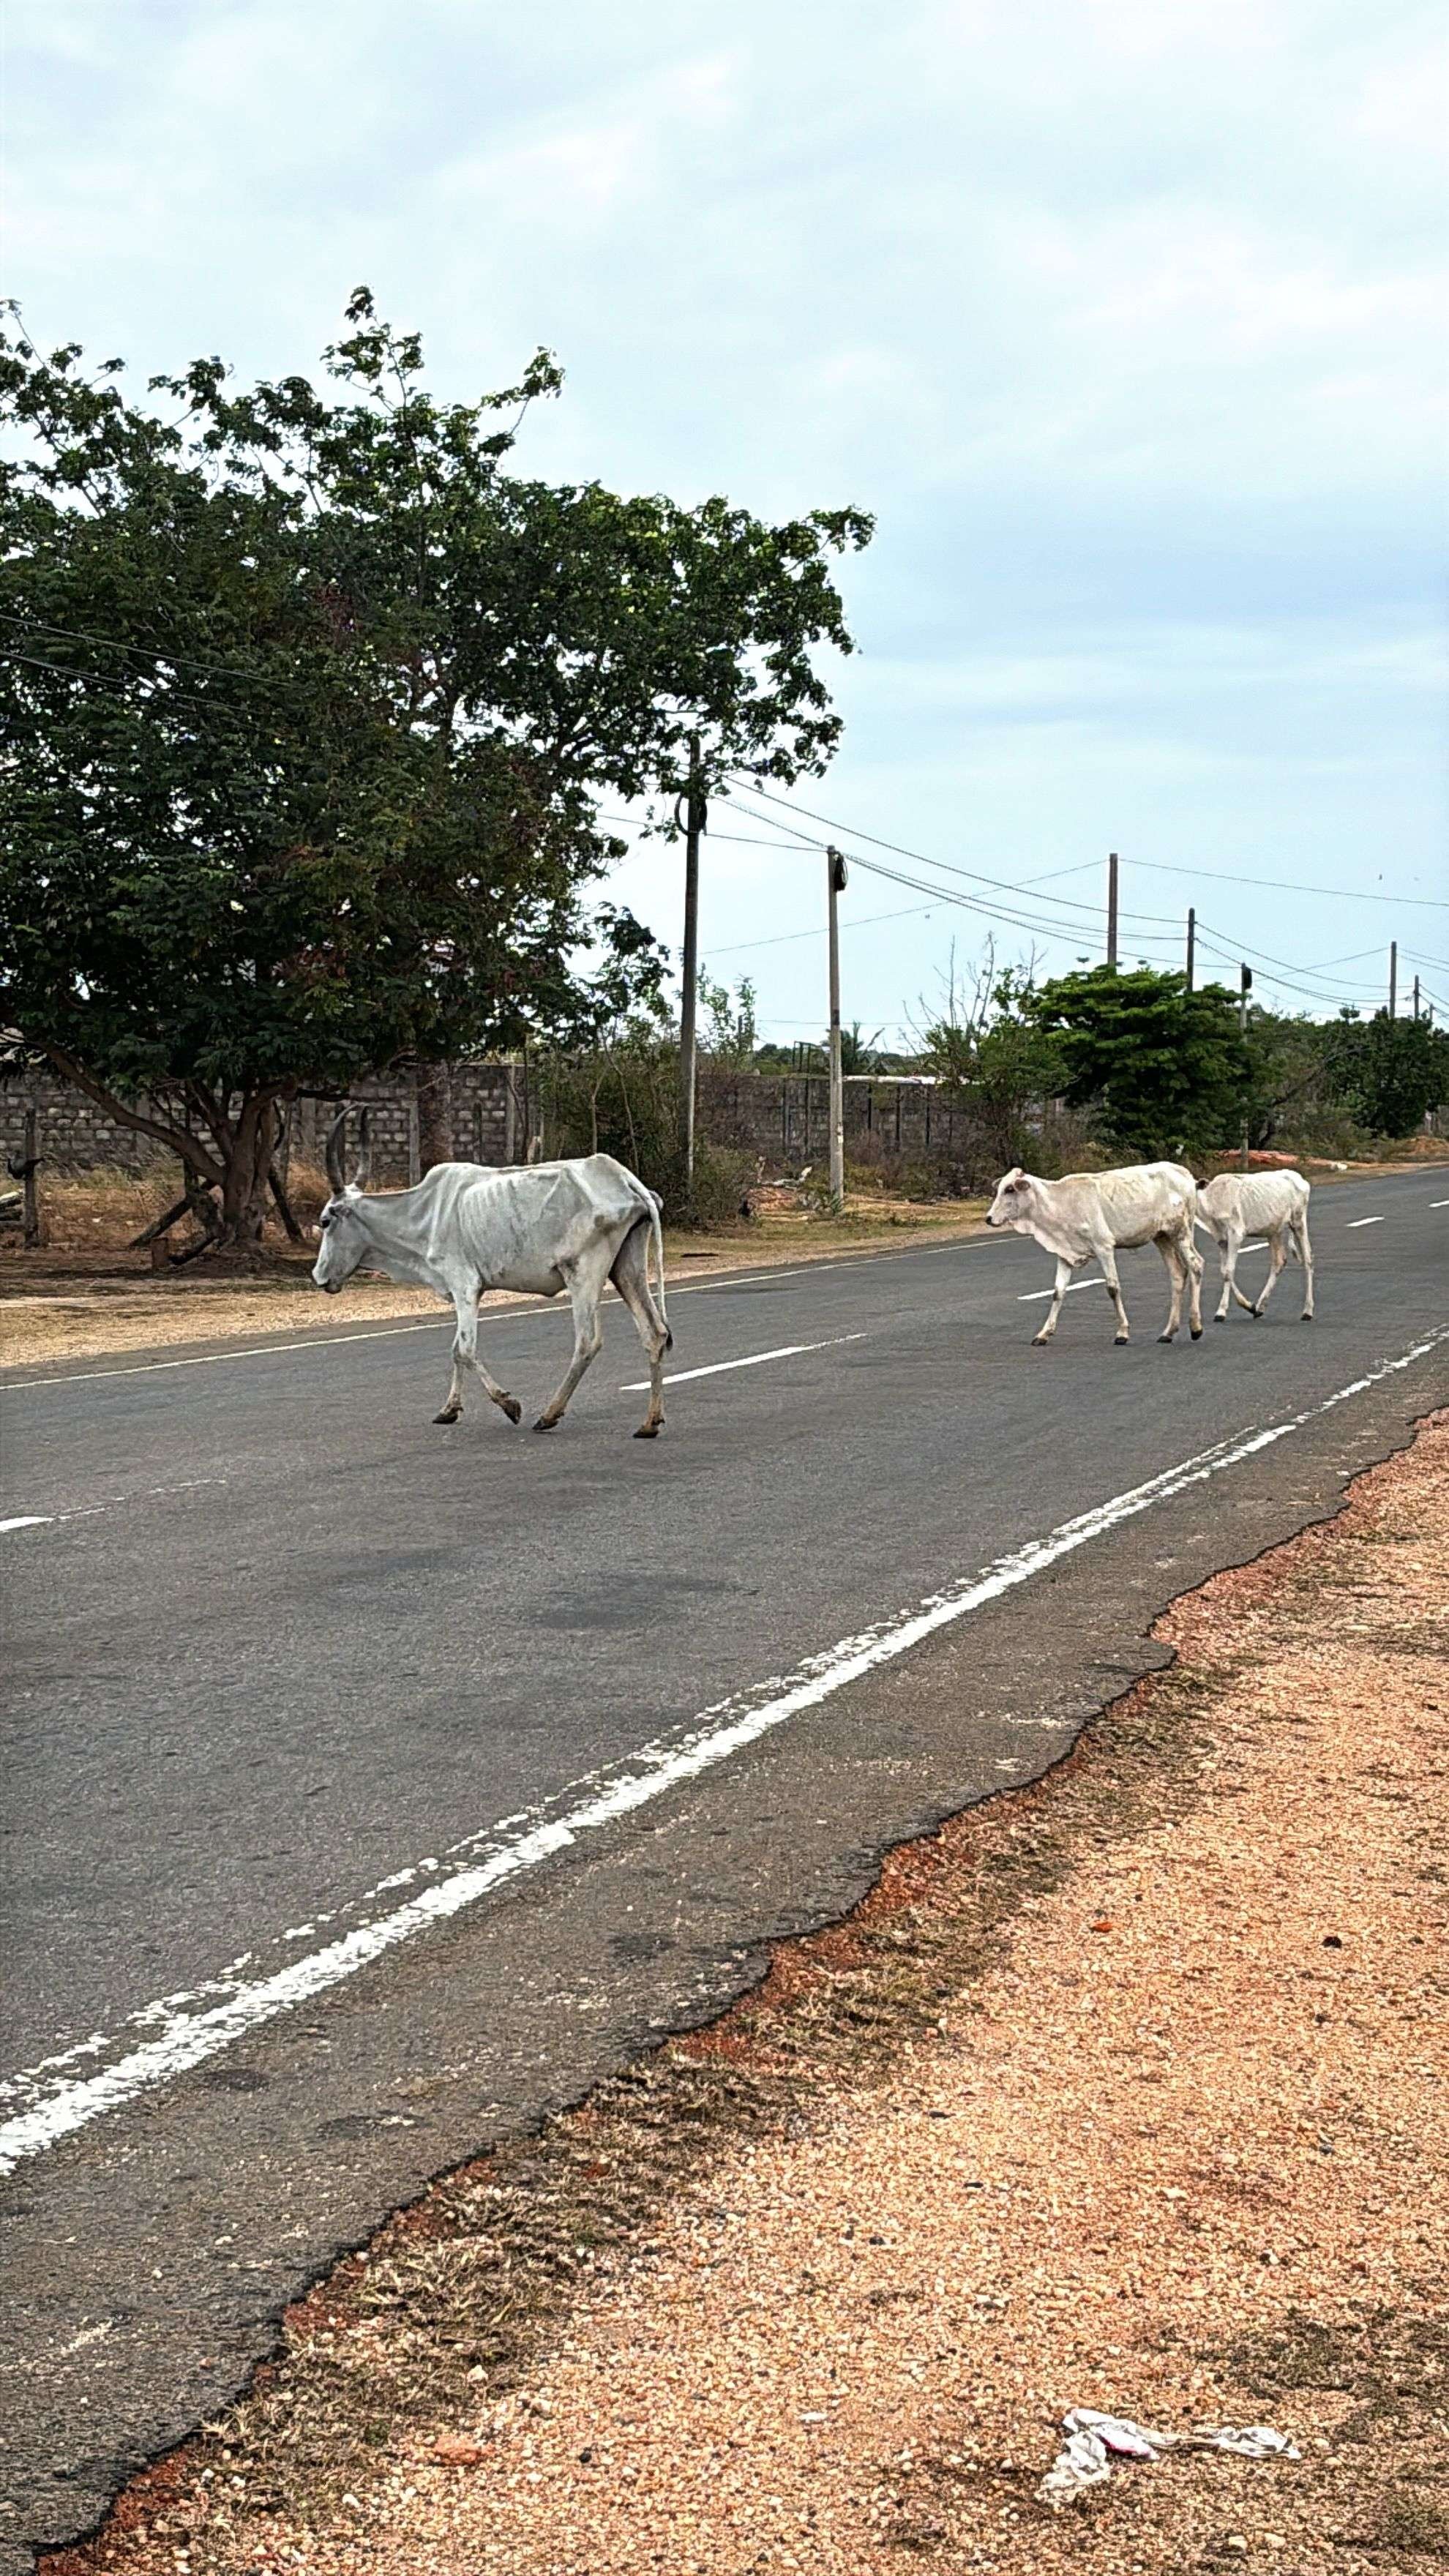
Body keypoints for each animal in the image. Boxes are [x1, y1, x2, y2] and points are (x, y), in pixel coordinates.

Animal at [311, 1112, 672, 1438]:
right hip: (626, 1267)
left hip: (583, 1273)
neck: (425, 1212)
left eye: (326, 1221)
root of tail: (625, 1180)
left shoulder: (464, 1285)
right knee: (654, 1333)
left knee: (587, 1341)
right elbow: (456, 1348)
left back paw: (549, 1415)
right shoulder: (468, 1291)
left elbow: (466, 1350)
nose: (319, 1276)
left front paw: (509, 1405)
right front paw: (449, 1410)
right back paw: (649, 1423)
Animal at [986, 1161, 1204, 1347]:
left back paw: (1195, 1327)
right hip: (1162, 1236)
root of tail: (1183, 1172)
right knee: (1178, 1274)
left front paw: (1122, 1333)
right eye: (1000, 1189)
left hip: (1181, 1231)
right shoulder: (1065, 1254)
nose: (988, 1218)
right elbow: (1058, 1292)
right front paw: (1044, 1334)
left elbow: (1113, 1288)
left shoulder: (1104, 1247)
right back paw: (1168, 1332)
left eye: (1010, 1189)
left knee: (1196, 1265)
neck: (1059, 1204)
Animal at [1196, 1168, 1314, 1324]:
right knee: (1279, 1261)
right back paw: (1260, 1307)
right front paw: (1250, 1306)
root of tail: (1301, 1179)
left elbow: (1229, 1271)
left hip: (1298, 1221)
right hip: (1274, 1230)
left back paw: (1308, 1311)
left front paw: (1221, 1312)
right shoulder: (1221, 1239)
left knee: (1308, 1260)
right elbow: (1224, 1271)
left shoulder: (1236, 1233)